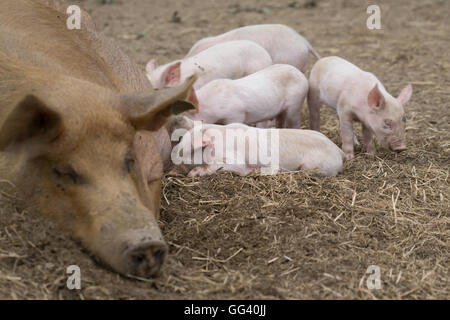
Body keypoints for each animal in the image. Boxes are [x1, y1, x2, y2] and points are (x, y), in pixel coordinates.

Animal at [170, 117, 344, 178]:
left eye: (186, 150)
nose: (171, 169)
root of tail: (338, 150)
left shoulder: (235, 160)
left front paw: (192, 174)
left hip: (314, 166)